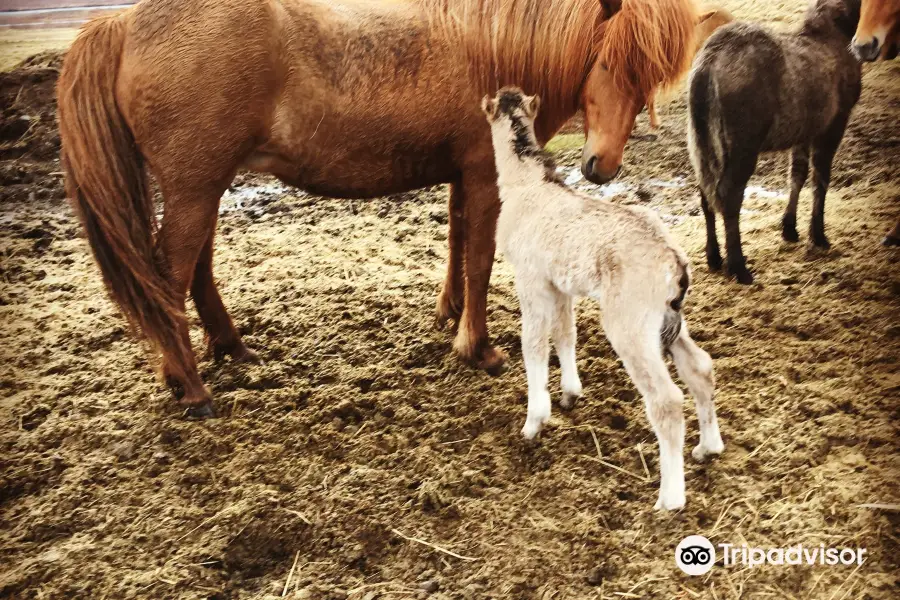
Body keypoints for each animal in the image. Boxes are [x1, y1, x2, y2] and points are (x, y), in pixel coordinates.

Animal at [58, 0, 696, 414]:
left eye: (648, 77)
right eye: (611, 61)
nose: (602, 167)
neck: (490, 45)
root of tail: (122, 22)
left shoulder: (461, 177)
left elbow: (457, 243)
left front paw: (449, 319)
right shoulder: (483, 176)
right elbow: (480, 258)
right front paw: (479, 348)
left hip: (206, 186)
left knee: (197, 271)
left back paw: (230, 348)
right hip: (194, 188)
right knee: (168, 276)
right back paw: (190, 386)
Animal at [688, 0, 864, 284]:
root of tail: (709, 62)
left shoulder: (805, 131)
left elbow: (798, 174)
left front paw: (790, 229)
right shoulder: (834, 124)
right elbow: (821, 178)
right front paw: (818, 235)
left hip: (703, 146)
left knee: (707, 194)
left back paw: (714, 258)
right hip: (741, 148)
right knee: (728, 195)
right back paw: (738, 267)